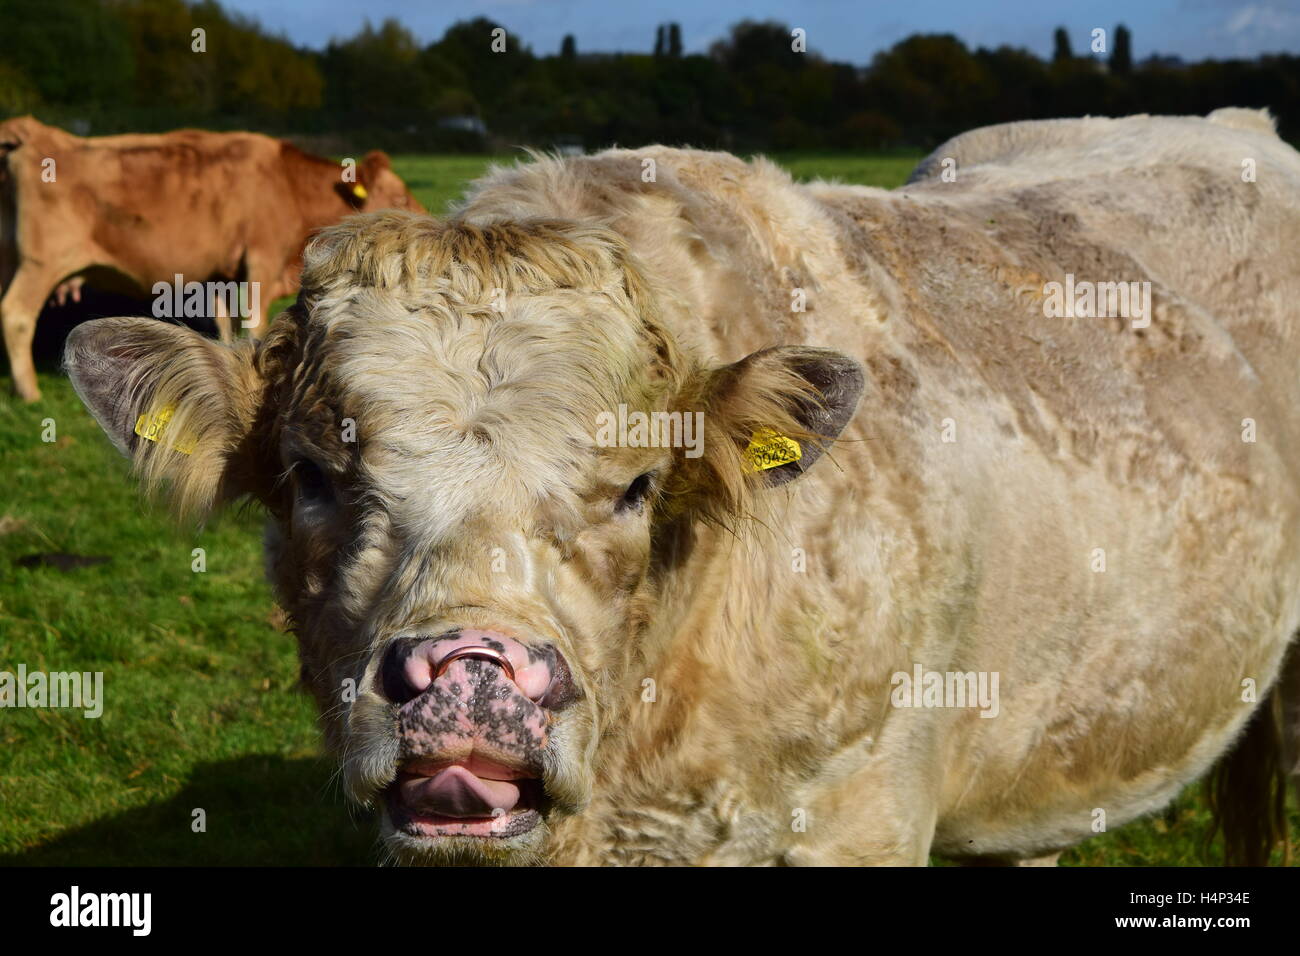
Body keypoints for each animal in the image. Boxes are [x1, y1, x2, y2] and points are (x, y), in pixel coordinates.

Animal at [0, 115, 418, 400]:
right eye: (399, 197)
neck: (287, 185)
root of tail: (32, 132)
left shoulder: (223, 273)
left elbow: (225, 322)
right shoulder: (261, 261)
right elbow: (254, 323)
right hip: (40, 264)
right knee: (16, 315)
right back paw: (29, 392)